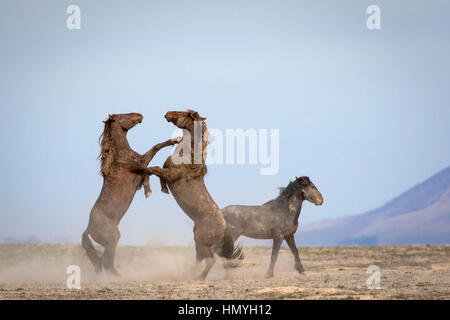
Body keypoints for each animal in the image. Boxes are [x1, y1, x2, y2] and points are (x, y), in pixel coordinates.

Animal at [81, 114, 180, 276]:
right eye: (122, 116)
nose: (140, 116)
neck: (119, 156)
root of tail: (88, 229)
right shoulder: (141, 163)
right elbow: (154, 161)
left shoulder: (141, 168)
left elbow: (149, 170)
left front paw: (146, 190)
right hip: (113, 239)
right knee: (107, 261)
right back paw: (120, 278)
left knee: (102, 261)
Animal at [142, 110, 244, 280]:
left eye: (185, 114)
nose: (167, 114)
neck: (187, 158)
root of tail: (225, 228)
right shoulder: (166, 172)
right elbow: (156, 172)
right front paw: (162, 189)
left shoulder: (169, 174)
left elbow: (151, 169)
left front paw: (148, 188)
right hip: (198, 242)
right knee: (200, 259)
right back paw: (188, 274)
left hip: (201, 241)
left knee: (210, 260)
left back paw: (199, 277)